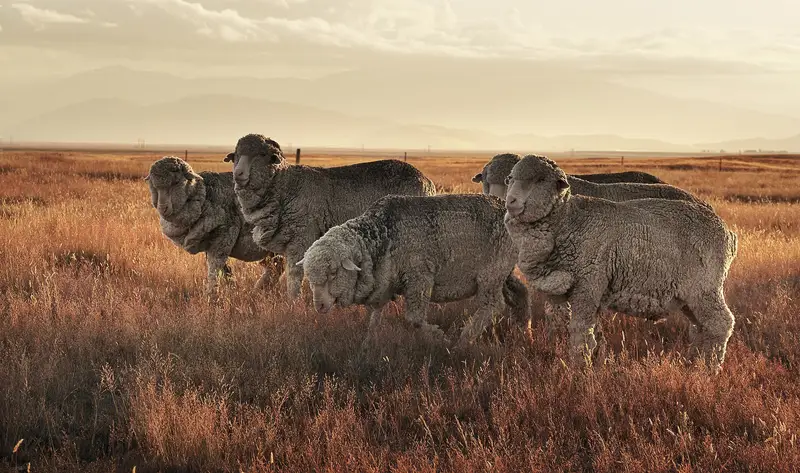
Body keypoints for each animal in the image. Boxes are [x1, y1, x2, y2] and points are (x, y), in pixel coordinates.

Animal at [145, 156, 284, 293]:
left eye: (175, 183)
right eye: (154, 186)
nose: (162, 208)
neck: (204, 197)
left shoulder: (224, 236)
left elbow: (214, 268)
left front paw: (212, 295)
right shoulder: (210, 244)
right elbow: (225, 270)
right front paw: (232, 288)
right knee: (277, 265)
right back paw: (260, 289)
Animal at [225, 134, 437, 299]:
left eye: (262, 155)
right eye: (236, 155)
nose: (238, 174)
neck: (287, 185)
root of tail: (428, 182)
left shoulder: (301, 238)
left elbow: (294, 275)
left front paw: (293, 302)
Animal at [296, 193, 529, 349]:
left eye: (333, 273)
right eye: (310, 278)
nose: (319, 306)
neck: (381, 235)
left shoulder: (419, 277)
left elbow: (414, 319)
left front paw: (439, 337)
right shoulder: (384, 284)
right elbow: (374, 319)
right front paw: (367, 346)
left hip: (492, 271)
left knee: (493, 304)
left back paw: (464, 339)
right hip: (504, 271)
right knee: (520, 292)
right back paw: (525, 330)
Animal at [503, 154, 738, 372]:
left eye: (541, 179)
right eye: (511, 178)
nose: (510, 201)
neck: (569, 220)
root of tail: (727, 232)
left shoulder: (589, 284)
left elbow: (580, 331)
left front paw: (579, 370)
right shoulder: (579, 291)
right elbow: (591, 332)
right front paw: (595, 363)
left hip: (705, 287)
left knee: (721, 324)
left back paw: (710, 369)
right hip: (689, 297)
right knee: (701, 327)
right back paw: (694, 363)